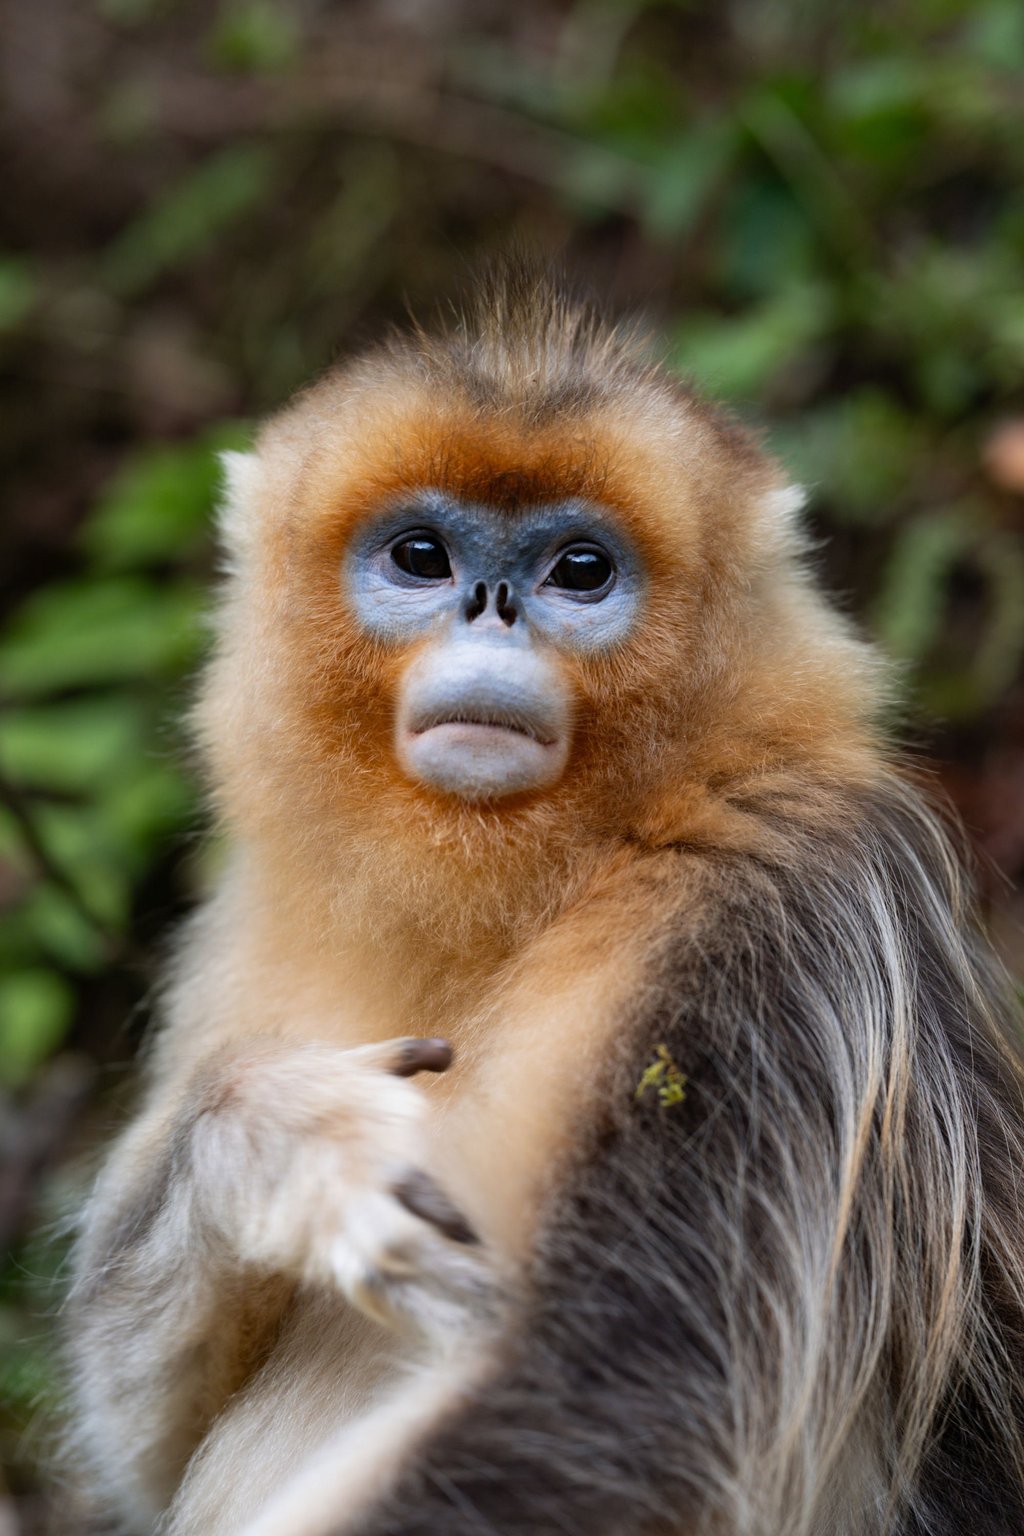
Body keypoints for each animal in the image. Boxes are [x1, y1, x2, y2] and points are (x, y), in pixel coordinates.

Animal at [64, 264, 1024, 1536]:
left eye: (578, 571)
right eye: (421, 556)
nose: (489, 603)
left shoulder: (773, 909)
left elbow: (618, 1408)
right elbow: (150, 1451)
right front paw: (285, 1147)